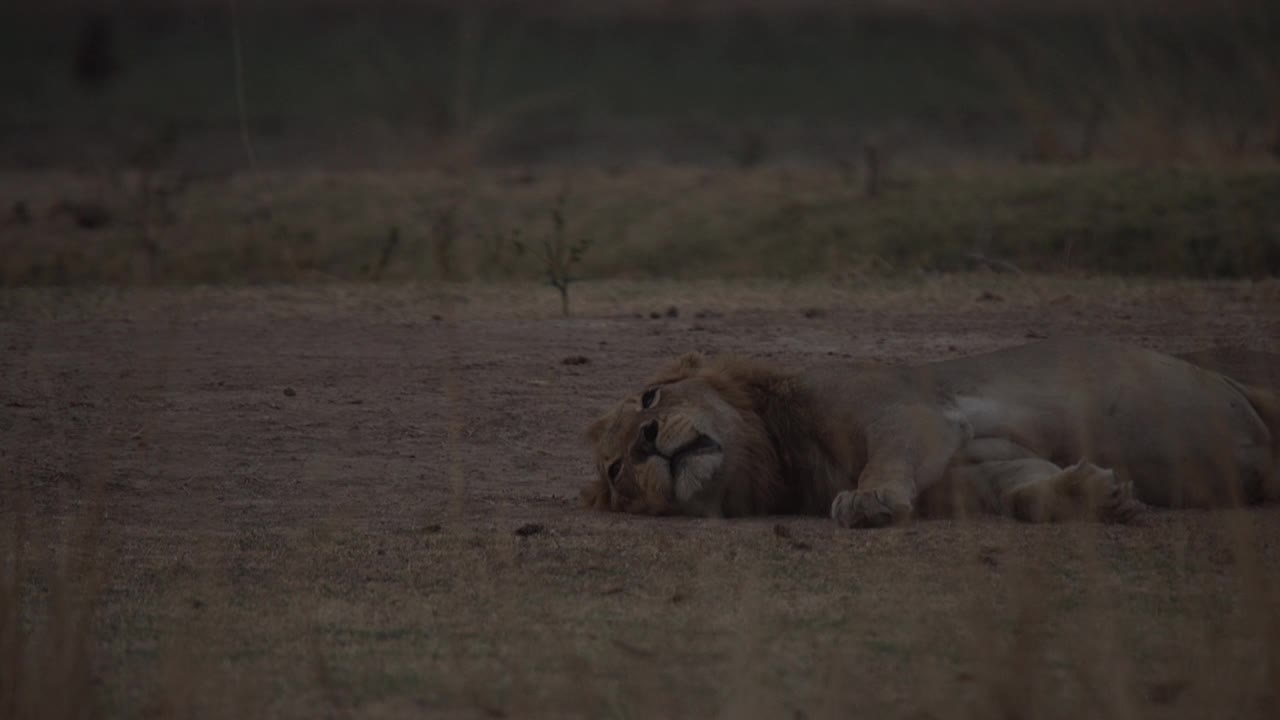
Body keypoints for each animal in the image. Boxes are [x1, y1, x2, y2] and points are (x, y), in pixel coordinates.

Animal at [583, 338, 1280, 525]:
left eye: (649, 397)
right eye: (616, 472)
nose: (645, 439)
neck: (784, 454)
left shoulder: (910, 412)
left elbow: (884, 459)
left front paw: (869, 500)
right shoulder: (981, 470)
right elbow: (1026, 492)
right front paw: (1098, 495)